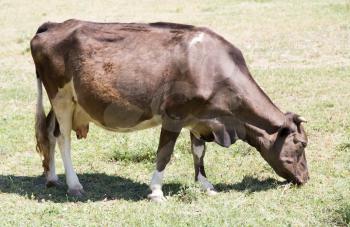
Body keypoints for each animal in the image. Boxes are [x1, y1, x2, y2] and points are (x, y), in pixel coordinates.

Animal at [30, 18, 308, 201]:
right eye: (301, 144)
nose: (306, 178)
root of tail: (54, 24)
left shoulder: (200, 117)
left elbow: (198, 151)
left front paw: (205, 184)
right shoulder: (174, 115)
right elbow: (164, 154)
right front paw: (156, 191)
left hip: (68, 100)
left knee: (50, 133)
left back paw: (52, 178)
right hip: (60, 96)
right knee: (63, 139)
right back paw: (74, 184)